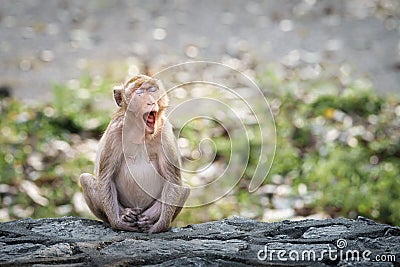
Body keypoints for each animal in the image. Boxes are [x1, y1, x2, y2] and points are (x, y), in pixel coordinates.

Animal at [80, 74, 190, 233]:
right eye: (139, 93)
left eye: (153, 90)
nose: (151, 102)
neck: (141, 134)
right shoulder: (114, 132)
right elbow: (106, 178)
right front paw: (119, 222)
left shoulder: (164, 132)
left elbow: (173, 179)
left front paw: (159, 226)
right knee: (85, 179)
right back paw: (126, 214)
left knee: (185, 188)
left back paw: (147, 218)